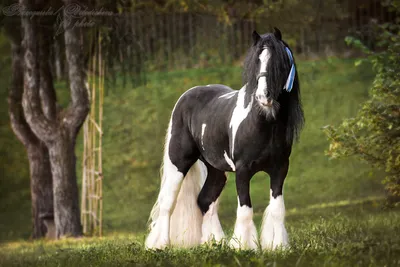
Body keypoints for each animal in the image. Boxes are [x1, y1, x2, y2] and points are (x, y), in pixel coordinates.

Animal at [145, 27, 304, 251]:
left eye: (279, 63)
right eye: (256, 61)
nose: (263, 97)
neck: (262, 123)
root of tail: (185, 97)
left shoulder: (279, 169)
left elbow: (277, 209)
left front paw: (278, 246)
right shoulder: (243, 170)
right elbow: (245, 210)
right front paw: (244, 247)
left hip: (216, 170)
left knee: (205, 200)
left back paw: (214, 243)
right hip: (179, 162)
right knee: (168, 202)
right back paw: (160, 245)